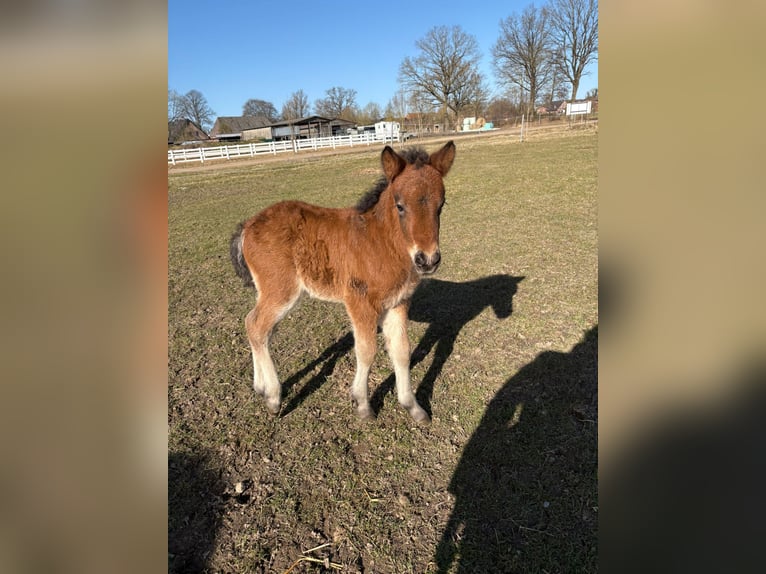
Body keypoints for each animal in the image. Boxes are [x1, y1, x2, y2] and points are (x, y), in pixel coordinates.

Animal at [229, 141, 456, 423]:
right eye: (400, 206)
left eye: (441, 205)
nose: (427, 260)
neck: (381, 243)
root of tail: (247, 225)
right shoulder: (360, 303)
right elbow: (367, 350)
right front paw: (363, 405)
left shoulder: (399, 303)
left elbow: (401, 351)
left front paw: (413, 407)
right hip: (281, 291)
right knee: (257, 326)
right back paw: (272, 397)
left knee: (256, 326)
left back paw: (260, 387)